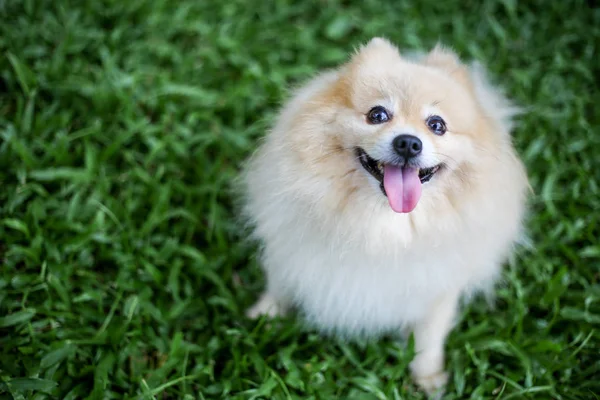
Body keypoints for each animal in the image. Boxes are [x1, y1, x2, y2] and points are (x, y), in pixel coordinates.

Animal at [241, 38, 528, 396]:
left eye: (437, 125)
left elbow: (429, 336)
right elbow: (280, 285)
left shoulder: (436, 286)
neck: (379, 224)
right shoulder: (292, 251)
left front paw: (428, 378)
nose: (408, 142)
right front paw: (265, 316)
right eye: (377, 114)